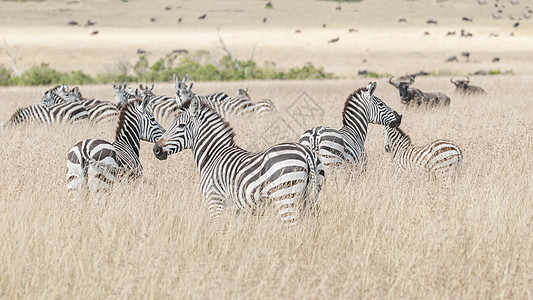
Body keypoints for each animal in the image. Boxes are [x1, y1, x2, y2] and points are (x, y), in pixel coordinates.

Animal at [152, 97, 322, 224]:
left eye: (181, 126)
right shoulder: (237, 208)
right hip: (308, 196)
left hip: (285, 196)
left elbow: (218, 229)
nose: (156, 149)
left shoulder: (215, 201)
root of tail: (305, 151)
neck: (214, 156)